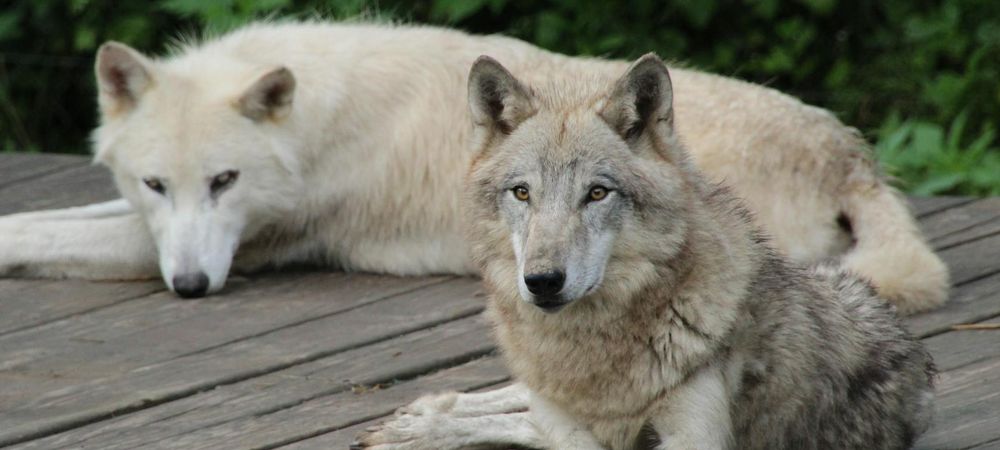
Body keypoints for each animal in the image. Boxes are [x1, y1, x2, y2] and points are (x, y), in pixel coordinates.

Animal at [0, 22, 946, 309]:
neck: (311, 125)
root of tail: (853, 155)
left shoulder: (245, 242)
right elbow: (38, 219)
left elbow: (33, 236)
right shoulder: (148, 227)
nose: (192, 288)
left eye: (224, 183)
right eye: (156, 185)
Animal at [354, 54, 936, 450]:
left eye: (597, 193)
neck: (595, 351)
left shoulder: (692, 436)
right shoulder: (569, 426)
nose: (542, 281)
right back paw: (422, 419)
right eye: (522, 193)